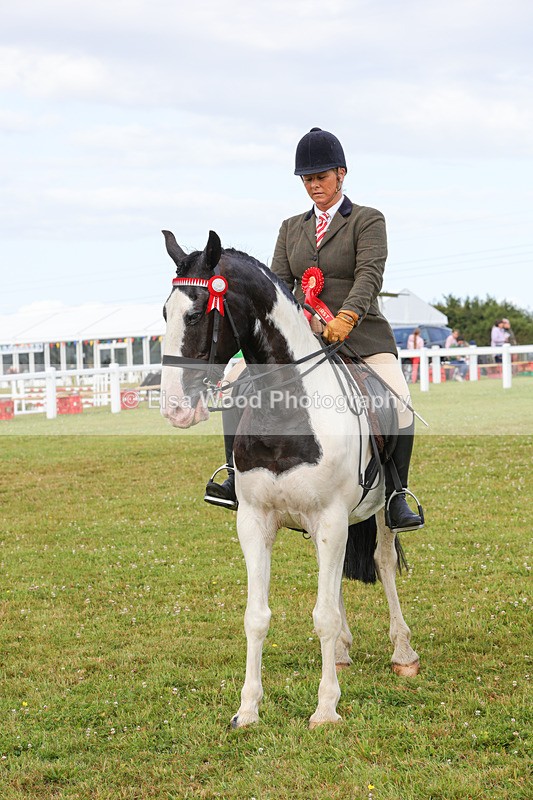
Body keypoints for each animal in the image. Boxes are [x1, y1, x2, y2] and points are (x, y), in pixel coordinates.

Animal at [160, 229, 420, 729]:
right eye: (165, 312)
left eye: (197, 312)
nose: (176, 409)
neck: (287, 410)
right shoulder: (255, 521)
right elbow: (257, 616)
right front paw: (247, 709)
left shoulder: (332, 519)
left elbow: (323, 614)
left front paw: (326, 708)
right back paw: (341, 651)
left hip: (376, 512)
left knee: (382, 562)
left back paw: (402, 652)